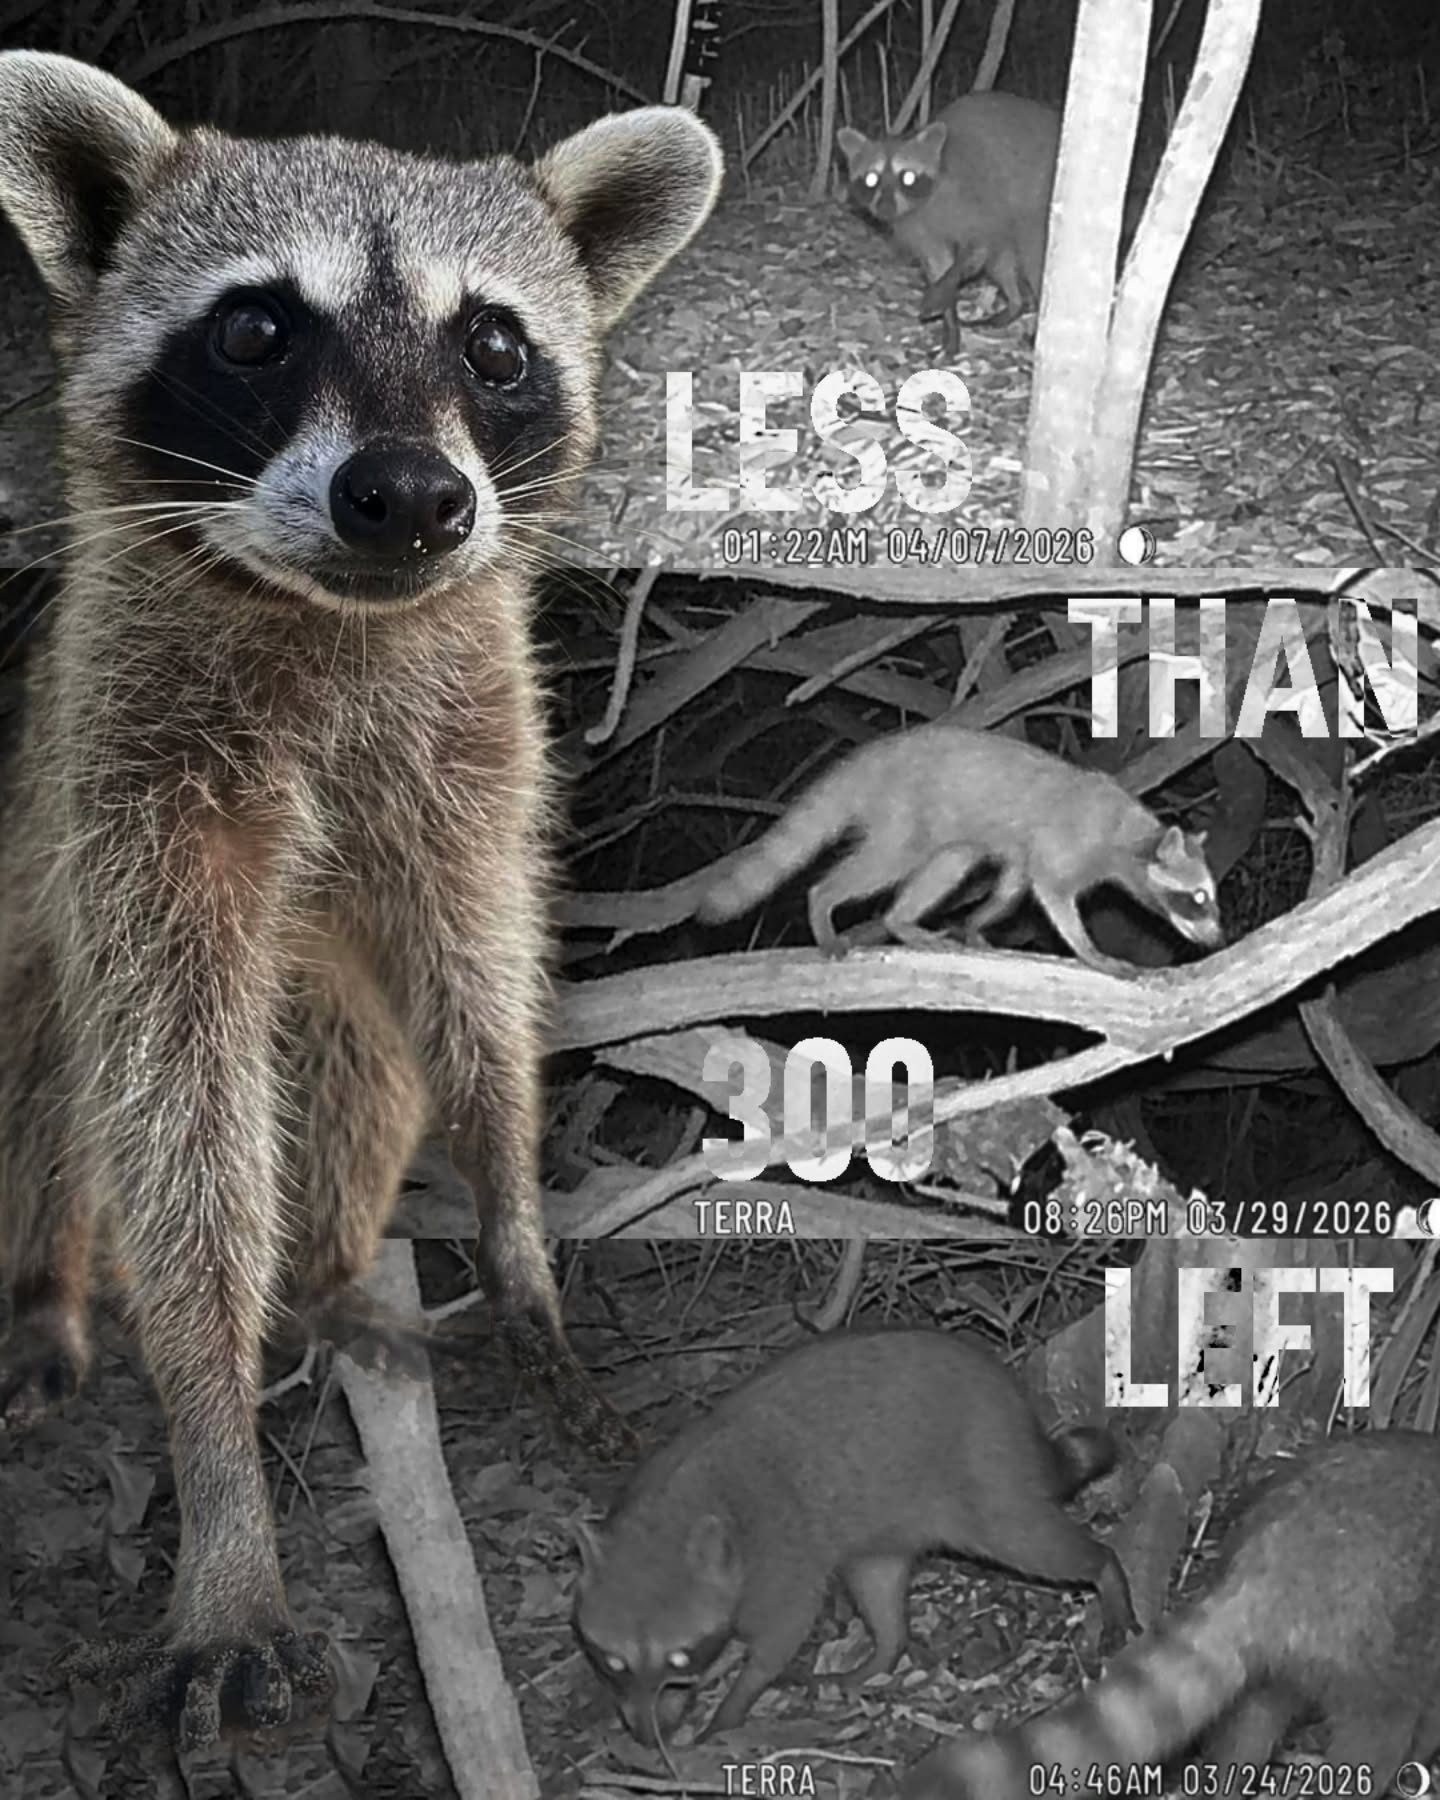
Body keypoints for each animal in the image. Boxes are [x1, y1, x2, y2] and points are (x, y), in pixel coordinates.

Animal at [0, 52, 720, 1747]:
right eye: (257, 330)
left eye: (494, 342)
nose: (408, 497)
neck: (331, 622)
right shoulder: (128, 777)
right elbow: (176, 1117)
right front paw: (218, 1483)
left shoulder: (469, 738)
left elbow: (478, 981)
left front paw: (519, 1244)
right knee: (57, 1079)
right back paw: (53, 1293)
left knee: (354, 1047)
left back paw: (334, 1274)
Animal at [571, 1328, 1137, 1746]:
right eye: (613, 1661)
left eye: (679, 1656)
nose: (644, 1736)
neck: (668, 1516)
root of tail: (1015, 1403)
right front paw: (665, 1711)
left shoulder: (779, 1559)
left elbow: (781, 1635)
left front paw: (731, 1706)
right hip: (885, 1521)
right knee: (878, 1585)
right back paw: (884, 1652)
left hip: (986, 1474)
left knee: (1031, 1540)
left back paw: (1105, 1571)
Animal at [696, 722, 1222, 976]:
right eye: (1197, 897)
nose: (1217, 940)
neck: (1133, 838)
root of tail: (869, 759)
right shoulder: (1069, 841)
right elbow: (1052, 894)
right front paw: (1090, 951)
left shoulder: (1027, 850)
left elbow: (1012, 887)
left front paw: (977, 921)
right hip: (903, 809)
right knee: (886, 863)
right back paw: (823, 903)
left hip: (942, 829)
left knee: (950, 864)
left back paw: (900, 921)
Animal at [835, 91, 1060, 356]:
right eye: (871, 179)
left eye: (908, 177)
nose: (885, 208)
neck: (921, 205)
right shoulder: (920, 228)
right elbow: (938, 264)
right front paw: (951, 330)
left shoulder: (972, 201)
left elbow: (974, 251)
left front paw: (942, 290)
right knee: (1002, 263)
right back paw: (1016, 304)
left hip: (1036, 201)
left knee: (1034, 256)